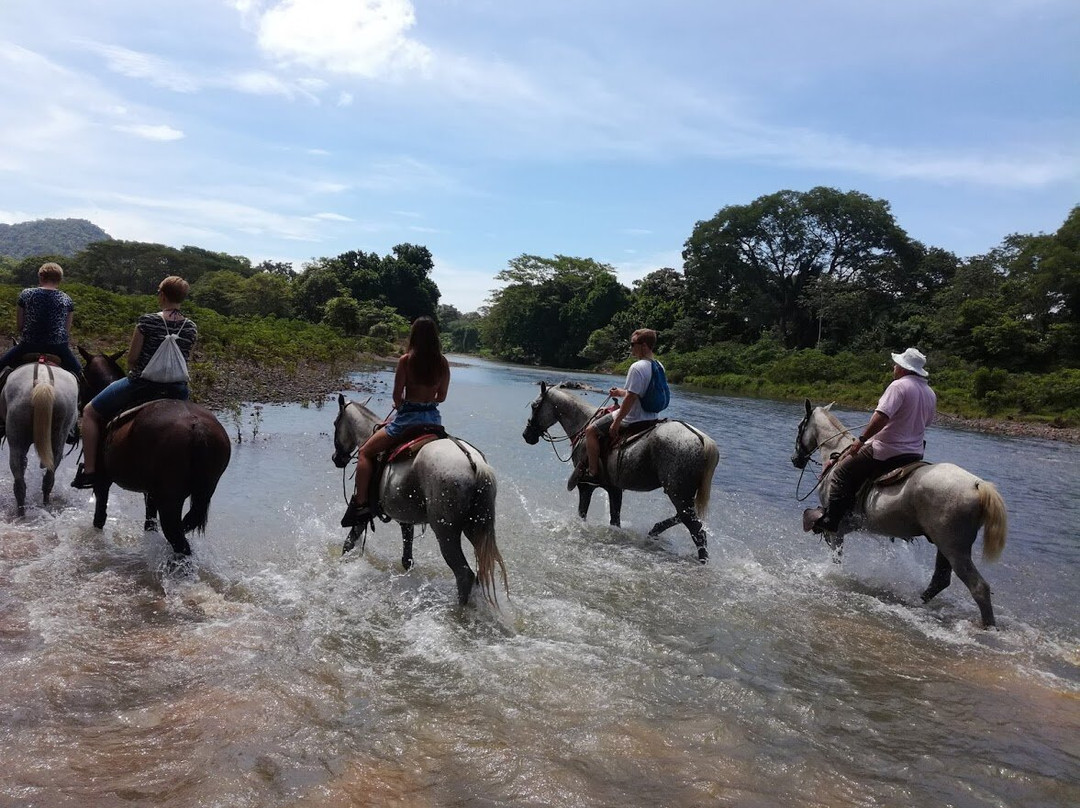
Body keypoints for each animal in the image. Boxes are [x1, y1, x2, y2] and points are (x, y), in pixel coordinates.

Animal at [77, 343, 231, 557]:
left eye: (81, 375)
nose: (79, 404)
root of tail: (197, 427)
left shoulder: (102, 481)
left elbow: (100, 517)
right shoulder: (151, 492)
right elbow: (149, 523)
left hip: (170, 500)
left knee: (179, 541)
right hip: (201, 492)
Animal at [330, 395, 507, 609]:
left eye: (335, 424)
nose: (336, 458)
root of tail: (475, 464)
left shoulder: (365, 514)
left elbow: (349, 543)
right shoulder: (405, 521)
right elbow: (407, 559)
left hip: (446, 532)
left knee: (464, 574)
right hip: (475, 527)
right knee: (480, 570)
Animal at [520, 384, 721, 561]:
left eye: (534, 406)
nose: (526, 435)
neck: (584, 424)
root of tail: (701, 438)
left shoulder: (585, 486)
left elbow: (582, 514)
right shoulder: (614, 489)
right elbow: (614, 520)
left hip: (678, 493)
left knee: (696, 529)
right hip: (682, 494)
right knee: (684, 517)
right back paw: (654, 531)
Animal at [790, 401, 1006, 626]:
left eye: (799, 426)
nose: (795, 459)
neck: (836, 453)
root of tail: (977, 485)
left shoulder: (837, 528)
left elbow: (836, 559)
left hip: (954, 548)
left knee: (979, 587)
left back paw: (988, 626)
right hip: (945, 546)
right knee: (940, 580)